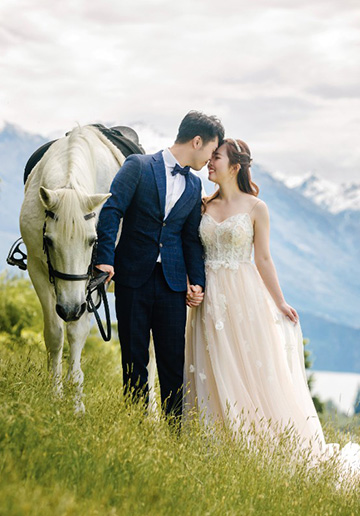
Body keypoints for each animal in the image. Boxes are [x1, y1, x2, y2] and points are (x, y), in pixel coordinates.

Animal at [20, 125, 155, 412]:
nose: (70, 309)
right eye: (48, 240)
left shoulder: (93, 281)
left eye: (93, 240)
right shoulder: (37, 270)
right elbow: (55, 333)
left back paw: (151, 414)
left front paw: (77, 405)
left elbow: (77, 332)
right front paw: (55, 396)